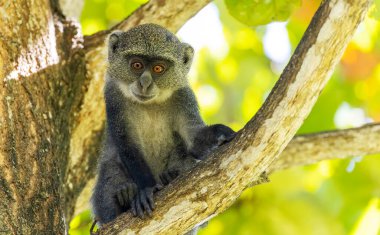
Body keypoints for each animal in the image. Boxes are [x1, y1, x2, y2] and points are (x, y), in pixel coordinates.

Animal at [91, 23, 235, 228]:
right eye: (137, 65)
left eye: (158, 68)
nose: (144, 83)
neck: (150, 104)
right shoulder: (113, 95)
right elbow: (128, 145)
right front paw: (147, 189)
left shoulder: (183, 96)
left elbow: (193, 139)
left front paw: (221, 133)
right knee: (110, 166)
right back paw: (124, 195)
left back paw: (170, 177)